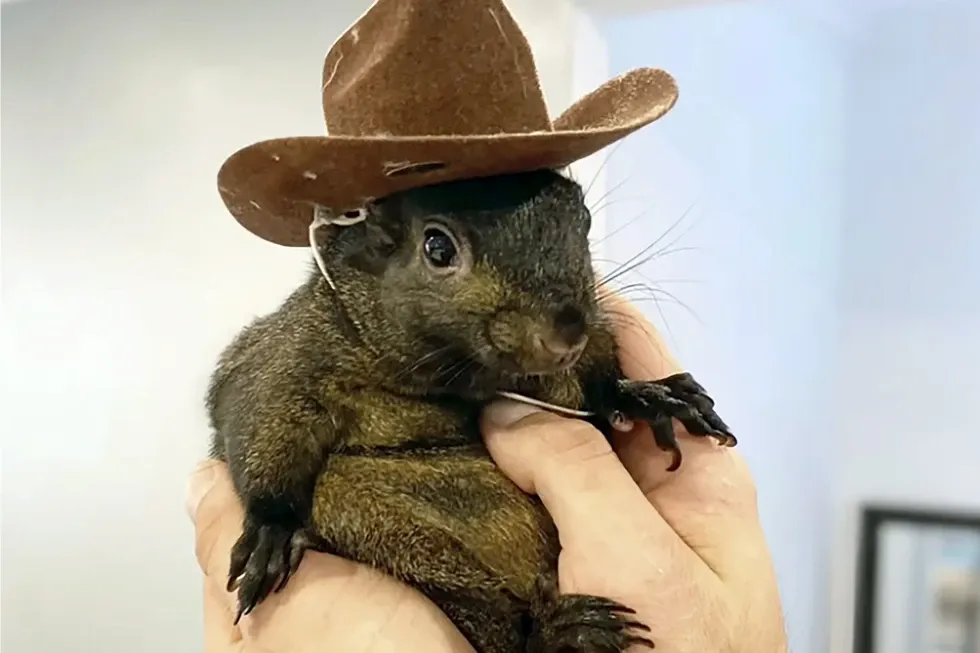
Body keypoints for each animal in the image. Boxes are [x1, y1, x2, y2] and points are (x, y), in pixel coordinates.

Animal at [205, 167, 735, 653]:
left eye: (582, 219)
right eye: (437, 248)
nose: (567, 332)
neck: (459, 377)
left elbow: (598, 384)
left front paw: (645, 395)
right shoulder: (290, 355)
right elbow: (261, 414)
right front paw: (271, 528)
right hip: (379, 527)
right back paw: (558, 633)